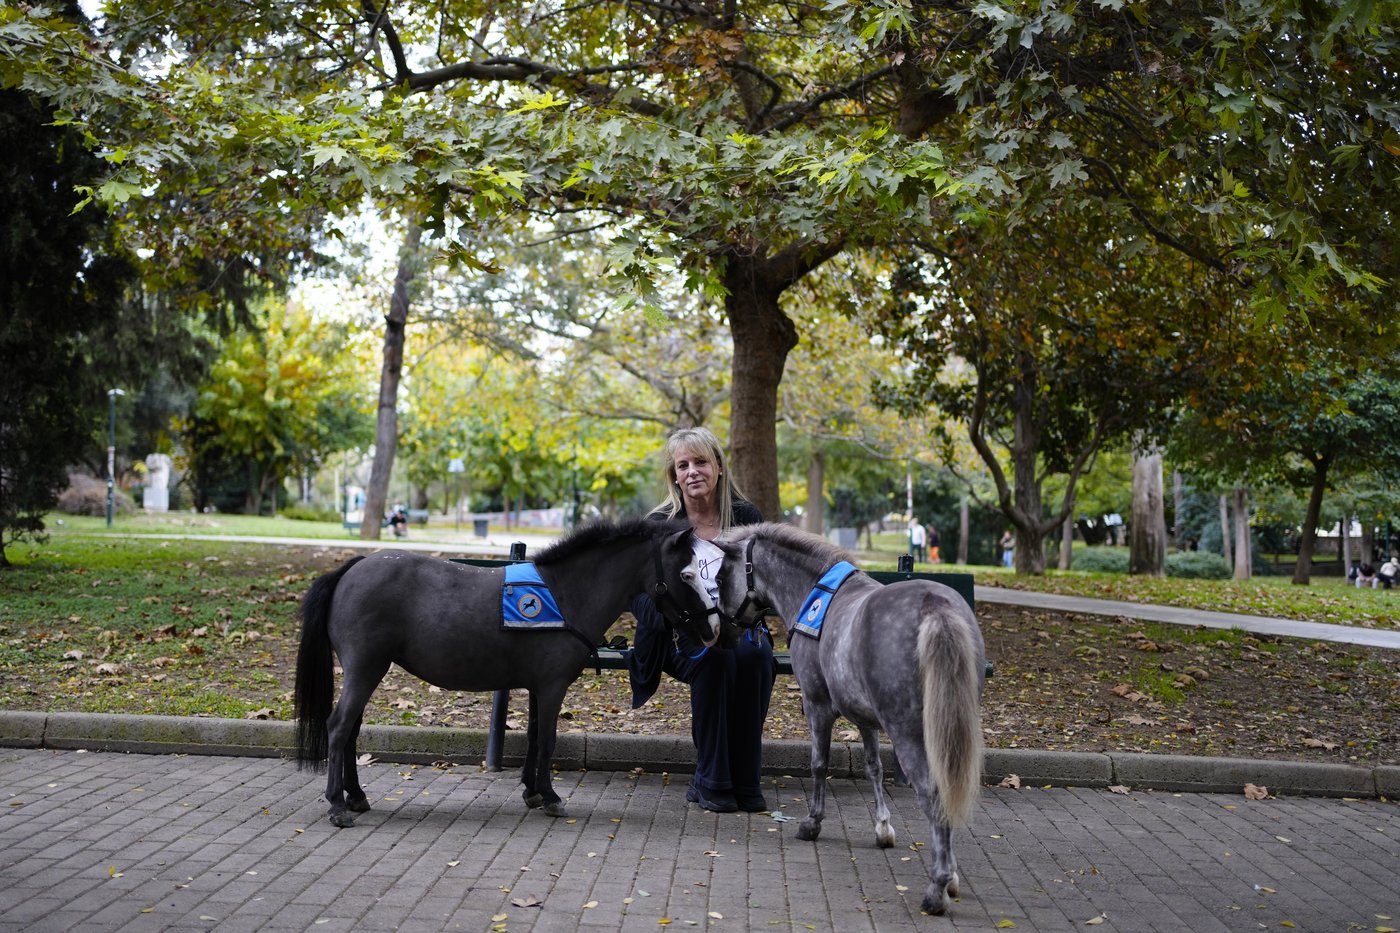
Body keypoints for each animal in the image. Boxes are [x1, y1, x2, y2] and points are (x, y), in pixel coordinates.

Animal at [293, 517, 704, 827]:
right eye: (687, 574)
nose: (708, 627)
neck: (565, 592)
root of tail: (354, 567)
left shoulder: (540, 687)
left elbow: (535, 736)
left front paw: (533, 791)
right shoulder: (553, 686)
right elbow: (547, 740)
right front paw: (550, 796)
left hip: (367, 671)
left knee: (350, 730)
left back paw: (356, 796)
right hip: (365, 669)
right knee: (339, 727)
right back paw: (338, 805)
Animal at [665, 522, 985, 916]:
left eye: (722, 576)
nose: (719, 635)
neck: (817, 595)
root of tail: (934, 606)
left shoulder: (817, 705)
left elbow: (819, 764)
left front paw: (812, 822)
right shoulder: (864, 717)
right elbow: (873, 767)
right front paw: (882, 828)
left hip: (910, 733)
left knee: (934, 794)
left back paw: (938, 888)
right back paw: (951, 877)